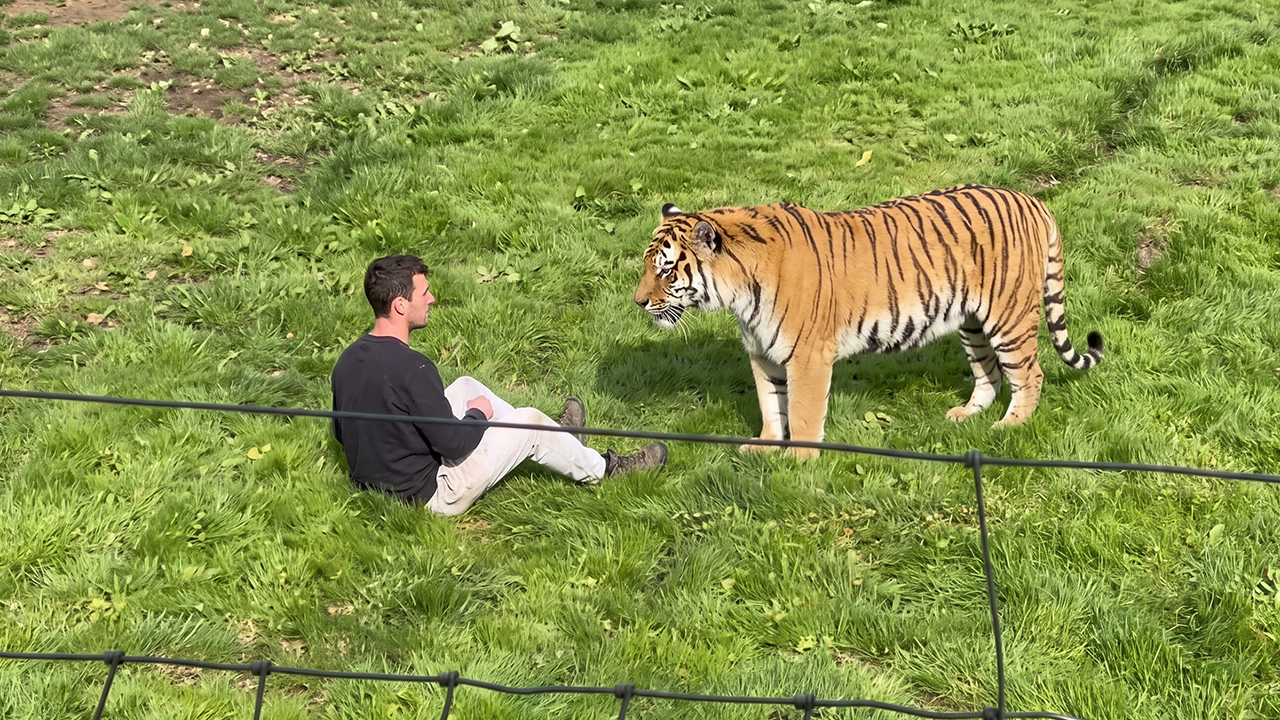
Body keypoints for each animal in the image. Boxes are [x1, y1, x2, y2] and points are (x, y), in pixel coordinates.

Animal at [633, 184, 1103, 458]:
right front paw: (764, 447)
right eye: (647, 266)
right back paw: (966, 415)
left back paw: (1010, 426)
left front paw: (798, 463)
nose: (638, 302)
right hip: (972, 322)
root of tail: (1033, 200)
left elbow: (802, 413)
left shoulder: (807, 356)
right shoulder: (762, 353)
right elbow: (771, 406)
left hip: (1009, 316)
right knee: (988, 372)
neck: (738, 296)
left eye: (667, 270)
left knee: (1030, 374)